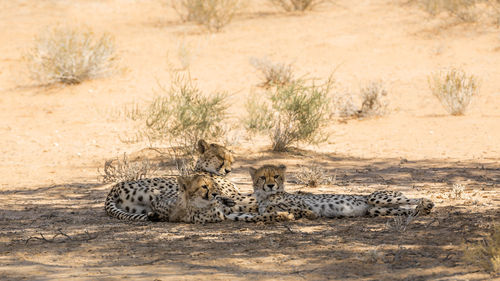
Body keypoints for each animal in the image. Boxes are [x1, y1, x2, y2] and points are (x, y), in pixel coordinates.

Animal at [149, 173, 292, 223]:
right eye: (204, 186)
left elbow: (251, 213)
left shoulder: (227, 211)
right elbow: (254, 216)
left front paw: (282, 214)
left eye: (213, 184)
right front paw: (282, 215)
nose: (215, 194)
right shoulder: (224, 216)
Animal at [250, 164, 434, 219]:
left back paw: (427, 202)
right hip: (375, 210)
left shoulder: (302, 202)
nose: (271, 185)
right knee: (408, 210)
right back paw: (423, 209)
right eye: (262, 178)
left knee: (414, 199)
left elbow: (295, 207)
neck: (266, 196)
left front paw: (309, 213)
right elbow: (276, 209)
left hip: (375, 198)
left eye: (276, 176)